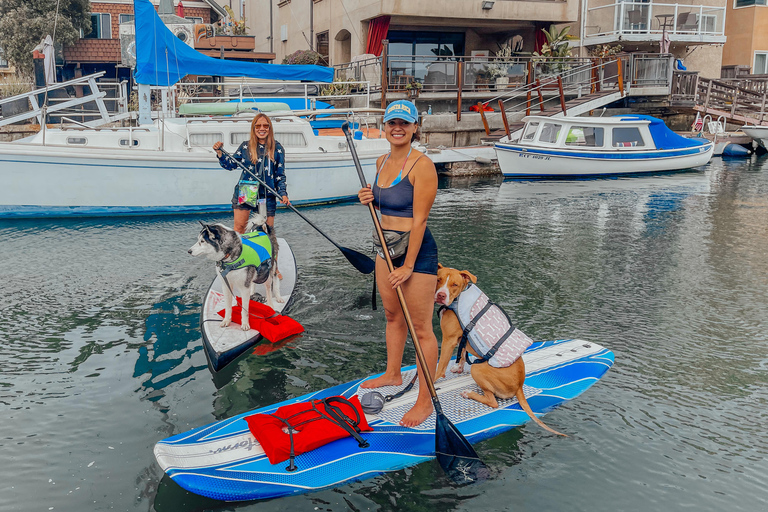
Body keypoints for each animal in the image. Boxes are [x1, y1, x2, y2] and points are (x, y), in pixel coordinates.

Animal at [436, 264, 568, 436]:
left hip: (478, 369)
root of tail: (519, 387)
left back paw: (469, 394)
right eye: (438, 279)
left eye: (454, 285)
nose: (440, 295)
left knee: (493, 402)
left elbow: (439, 368)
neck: (459, 296)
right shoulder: (461, 338)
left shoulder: (449, 340)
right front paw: (458, 368)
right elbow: (463, 352)